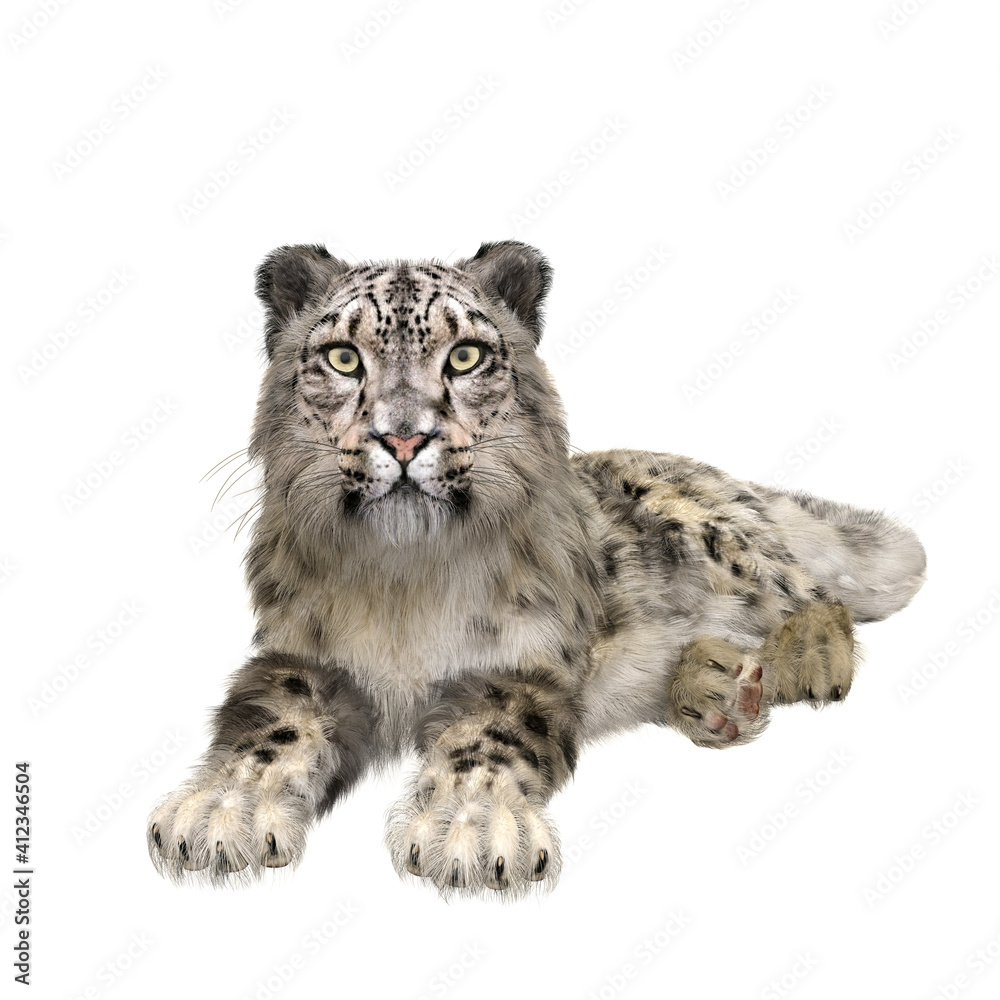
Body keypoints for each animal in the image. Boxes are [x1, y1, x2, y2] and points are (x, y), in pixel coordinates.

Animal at [147, 240, 926, 896]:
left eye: (465, 357)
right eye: (343, 358)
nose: (403, 437)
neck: (402, 587)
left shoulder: (520, 661)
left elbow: (487, 736)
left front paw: (468, 834)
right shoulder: (303, 655)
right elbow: (271, 726)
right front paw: (221, 816)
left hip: (711, 534)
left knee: (810, 590)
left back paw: (805, 661)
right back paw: (717, 690)